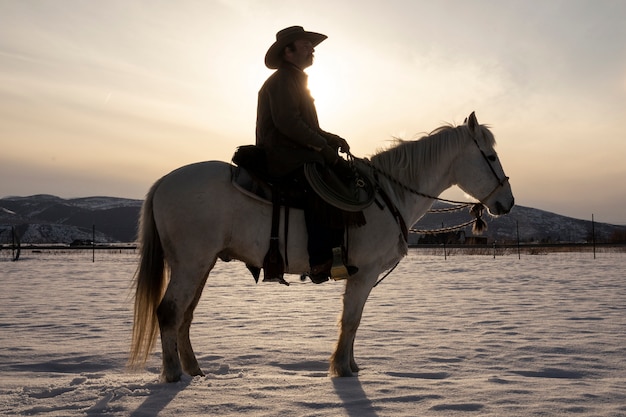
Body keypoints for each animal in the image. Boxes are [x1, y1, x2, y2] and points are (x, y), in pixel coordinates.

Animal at [128, 110, 512, 380]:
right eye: (491, 157)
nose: (506, 203)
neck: (388, 196)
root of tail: (163, 181)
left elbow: (354, 321)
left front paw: (352, 366)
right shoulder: (364, 273)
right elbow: (351, 320)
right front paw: (341, 369)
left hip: (201, 264)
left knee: (185, 316)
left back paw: (194, 371)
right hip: (191, 264)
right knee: (169, 312)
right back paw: (173, 376)